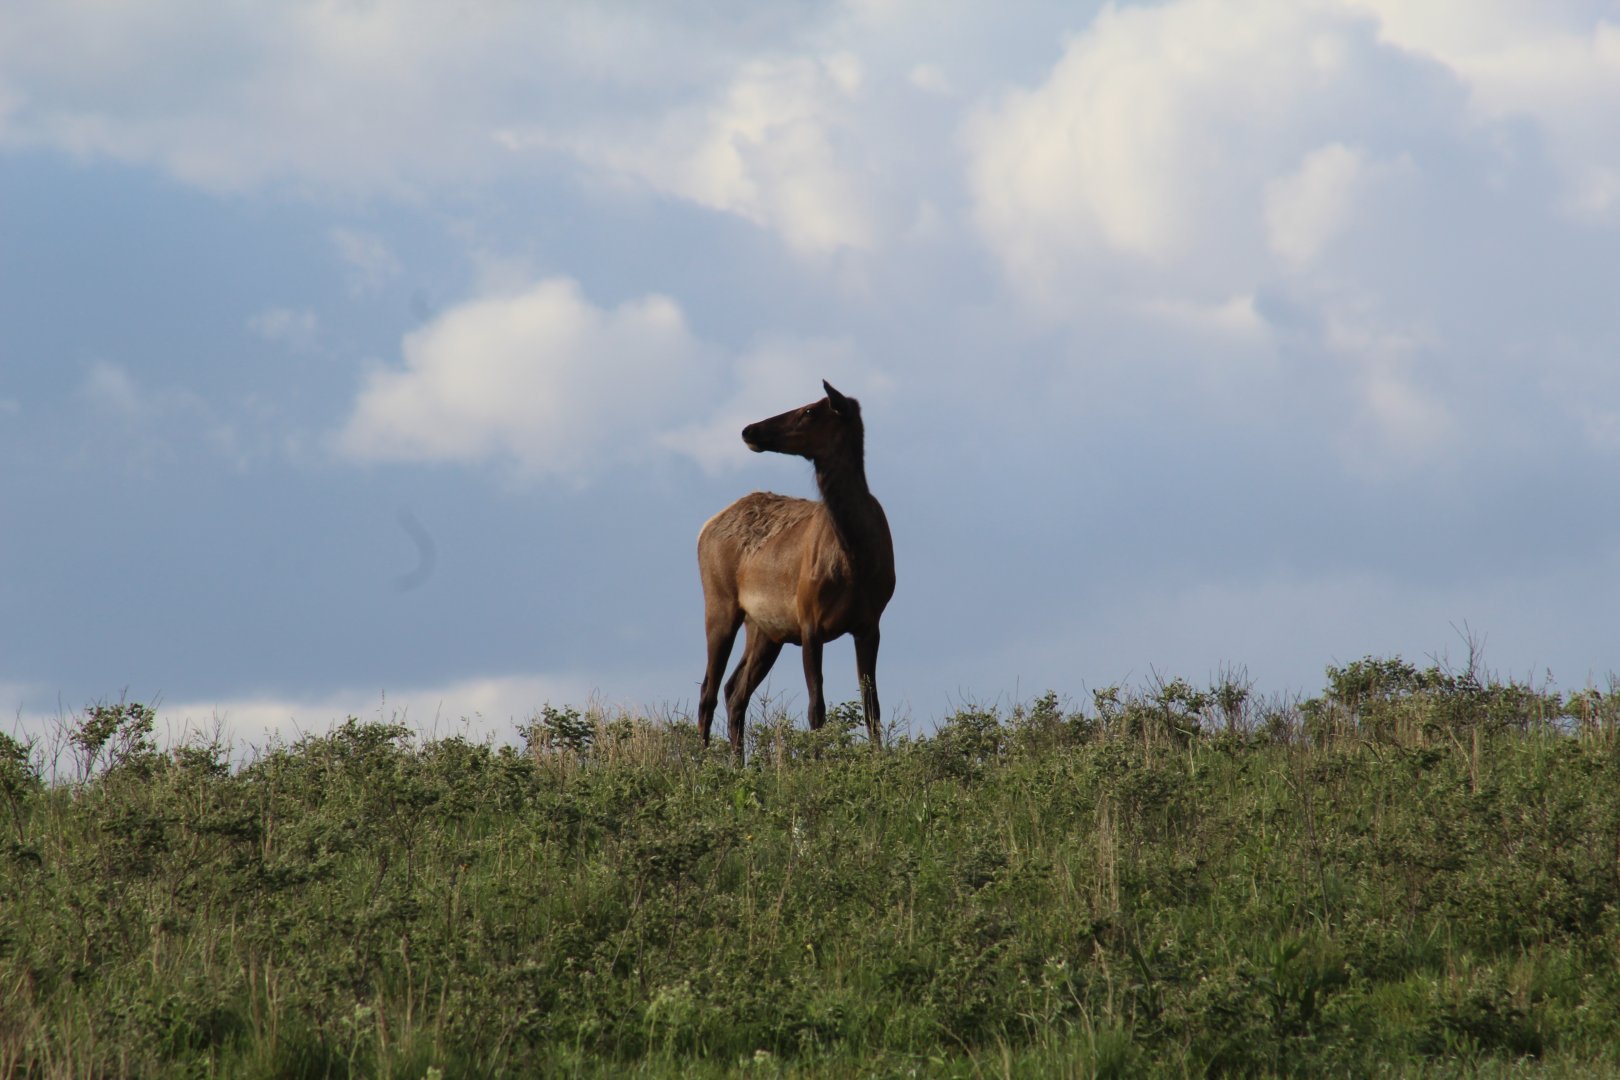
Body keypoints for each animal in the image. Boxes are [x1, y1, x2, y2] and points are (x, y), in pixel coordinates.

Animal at [696, 381, 895, 760]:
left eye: (809, 411)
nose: (749, 429)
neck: (856, 559)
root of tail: (704, 528)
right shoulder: (809, 620)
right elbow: (816, 707)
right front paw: (817, 764)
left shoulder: (870, 623)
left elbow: (872, 706)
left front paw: (880, 760)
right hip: (720, 603)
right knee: (707, 692)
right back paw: (701, 765)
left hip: (765, 629)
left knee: (733, 691)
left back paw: (737, 764)